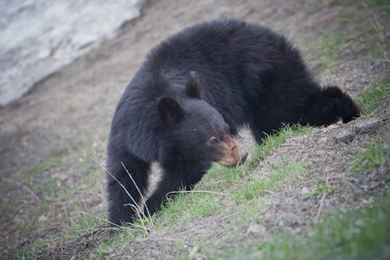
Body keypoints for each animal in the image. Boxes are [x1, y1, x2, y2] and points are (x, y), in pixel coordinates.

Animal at [106, 19, 360, 224]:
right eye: (212, 139)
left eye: (226, 128)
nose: (242, 156)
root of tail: (270, 33)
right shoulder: (124, 137)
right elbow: (123, 176)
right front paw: (120, 223)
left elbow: (183, 172)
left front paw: (148, 210)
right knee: (276, 120)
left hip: (267, 75)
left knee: (293, 105)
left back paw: (348, 110)